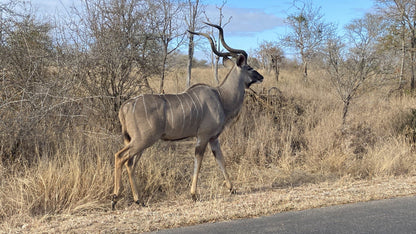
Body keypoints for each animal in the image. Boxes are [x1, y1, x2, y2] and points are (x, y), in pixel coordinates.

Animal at [111, 22, 264, 208]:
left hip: (136, 141)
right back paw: (115, 198)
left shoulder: (213, 138)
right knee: (120, 156)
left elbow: (220, 159)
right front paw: (193, 194)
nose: (261, 77)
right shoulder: (203, 137)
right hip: (143, 140)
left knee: (130, 163)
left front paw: (232, 188)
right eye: (249, 67)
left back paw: (138, 199)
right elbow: (198, 162)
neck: (221, 97)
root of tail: (125, 106)